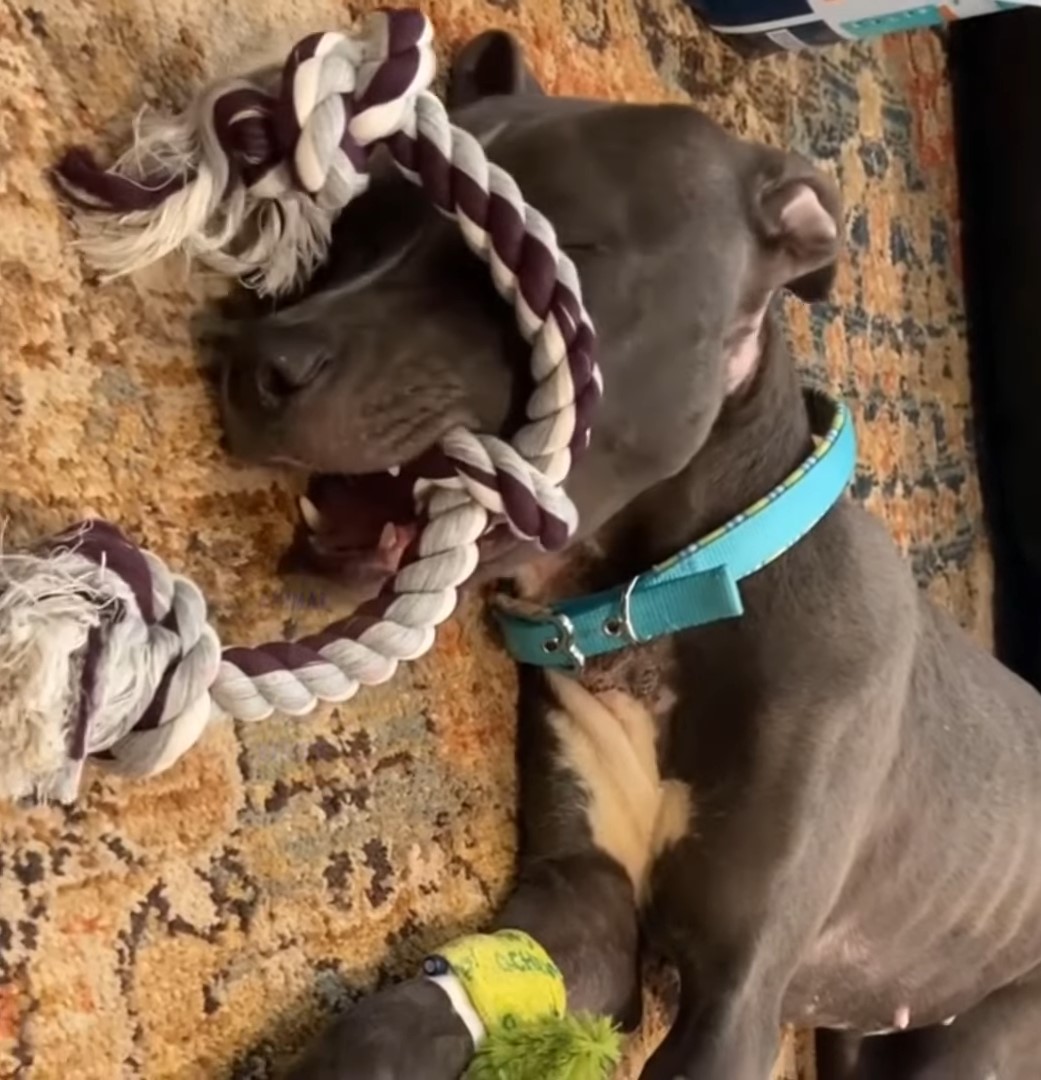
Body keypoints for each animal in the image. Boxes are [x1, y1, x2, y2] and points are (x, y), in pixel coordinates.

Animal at [213, 29, 1041, 1080]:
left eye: (551, 259)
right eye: (357, 230)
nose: (254, 360)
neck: (674, 589)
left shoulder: (736, 994)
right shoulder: (579, 903)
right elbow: (407, 1012)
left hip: (981, 1031)